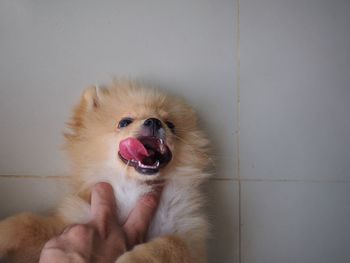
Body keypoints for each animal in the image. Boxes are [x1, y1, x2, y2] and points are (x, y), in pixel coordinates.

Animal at [0, 81, 211, 263]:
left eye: (171, 125)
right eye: (125, 122)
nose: (154, 121)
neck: (132, 188)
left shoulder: (189, 237)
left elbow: (173, 244)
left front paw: (132, 259)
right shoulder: (74, 220)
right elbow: (26, 224)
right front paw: (4, 233)